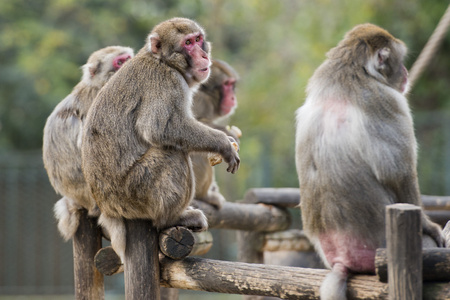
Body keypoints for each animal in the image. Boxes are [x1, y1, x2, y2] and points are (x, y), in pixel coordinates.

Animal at [82, 17, 241, 262]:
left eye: (198, 39)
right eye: (187, 43)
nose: (203, 56)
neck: (165, 63)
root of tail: (107, 208)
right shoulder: (167, 82)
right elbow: (159, 129)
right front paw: (223, 143)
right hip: (134, 193)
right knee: (172, 153)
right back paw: (172, 218)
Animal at [296, 24, 442, 300]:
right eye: (399, 60)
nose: (406, 72)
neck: (350, 69)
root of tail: (341, 258)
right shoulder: (387, 100)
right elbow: (398, 173)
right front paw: (429, 226)